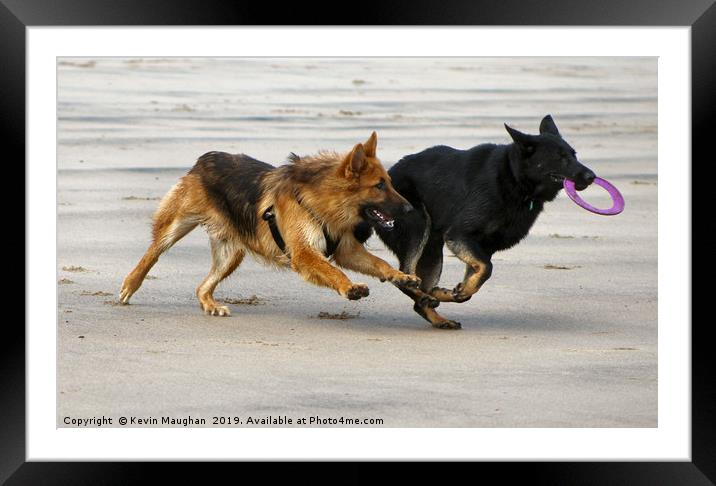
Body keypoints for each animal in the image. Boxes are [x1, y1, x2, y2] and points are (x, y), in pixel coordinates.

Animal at [118, 132, 420, 316]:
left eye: (389, 182)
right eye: (379, 186)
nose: (410, 209)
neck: (322, 201)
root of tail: (207, 157)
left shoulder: (347, 249)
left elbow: (378, 263)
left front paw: (400, 275)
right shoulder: (304, 254)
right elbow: (331, 270)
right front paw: (349, 287)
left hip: (231, 254)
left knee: (202, 286)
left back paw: (210, 304)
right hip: (177, 225)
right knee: (153, 251)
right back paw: (131, 284)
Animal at [374, 115, 600, 330]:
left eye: (574, 155)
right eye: (560, 158)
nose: (591, 176)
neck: (514, 179)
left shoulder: (483, 247)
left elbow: (478, 277)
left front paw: (458, 291)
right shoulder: (460, 235)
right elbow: (486, 268)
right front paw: (461, 290)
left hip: (431, 252)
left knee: (420, 292)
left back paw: (438, 308)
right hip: (419, 227)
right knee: (404, 278)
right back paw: (428, 297)